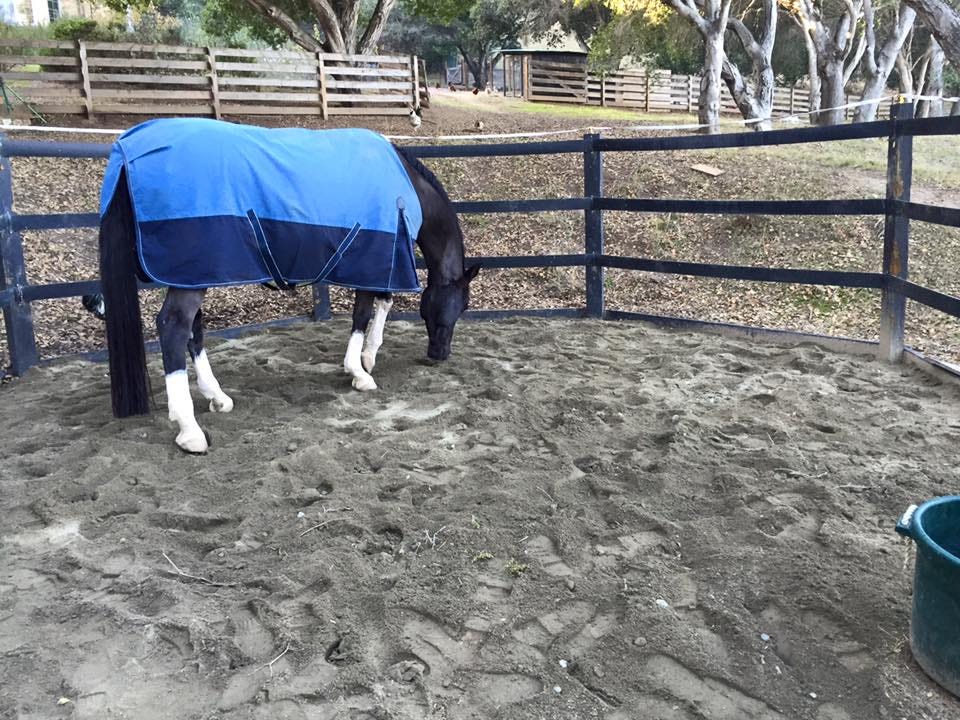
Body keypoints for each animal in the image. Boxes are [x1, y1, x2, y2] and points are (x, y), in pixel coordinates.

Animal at [97, 119, 479, 454]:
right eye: (461, 306)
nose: (440, 354)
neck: (407, 188)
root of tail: (128, 146)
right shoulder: (374, 257)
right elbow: (363, 314)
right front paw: (359, 371)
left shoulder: (381, 264)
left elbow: (382, 305)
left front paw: (368, 359)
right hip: (190, 278)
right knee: (174, 328)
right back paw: (190, 432)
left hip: (191, 275)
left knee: (194, 332)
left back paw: (218, 398)